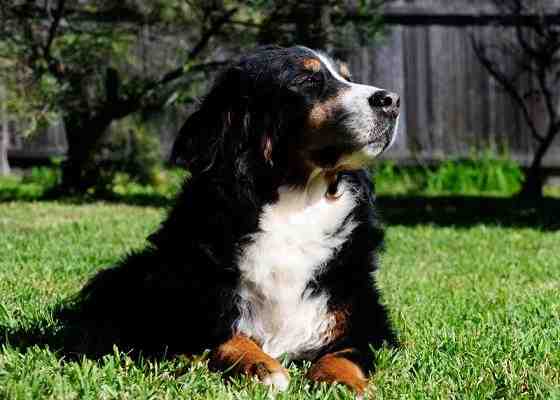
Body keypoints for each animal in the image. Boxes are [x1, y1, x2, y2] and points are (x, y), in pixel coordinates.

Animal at [72, 45, 400, 396]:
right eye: (307, 80)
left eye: (347, 77)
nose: (392, 100)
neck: (297, 204)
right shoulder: (181, 314)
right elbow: (226, 338)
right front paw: (261, 367)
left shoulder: (364, 317)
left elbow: (346, 353)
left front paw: (341, 382)